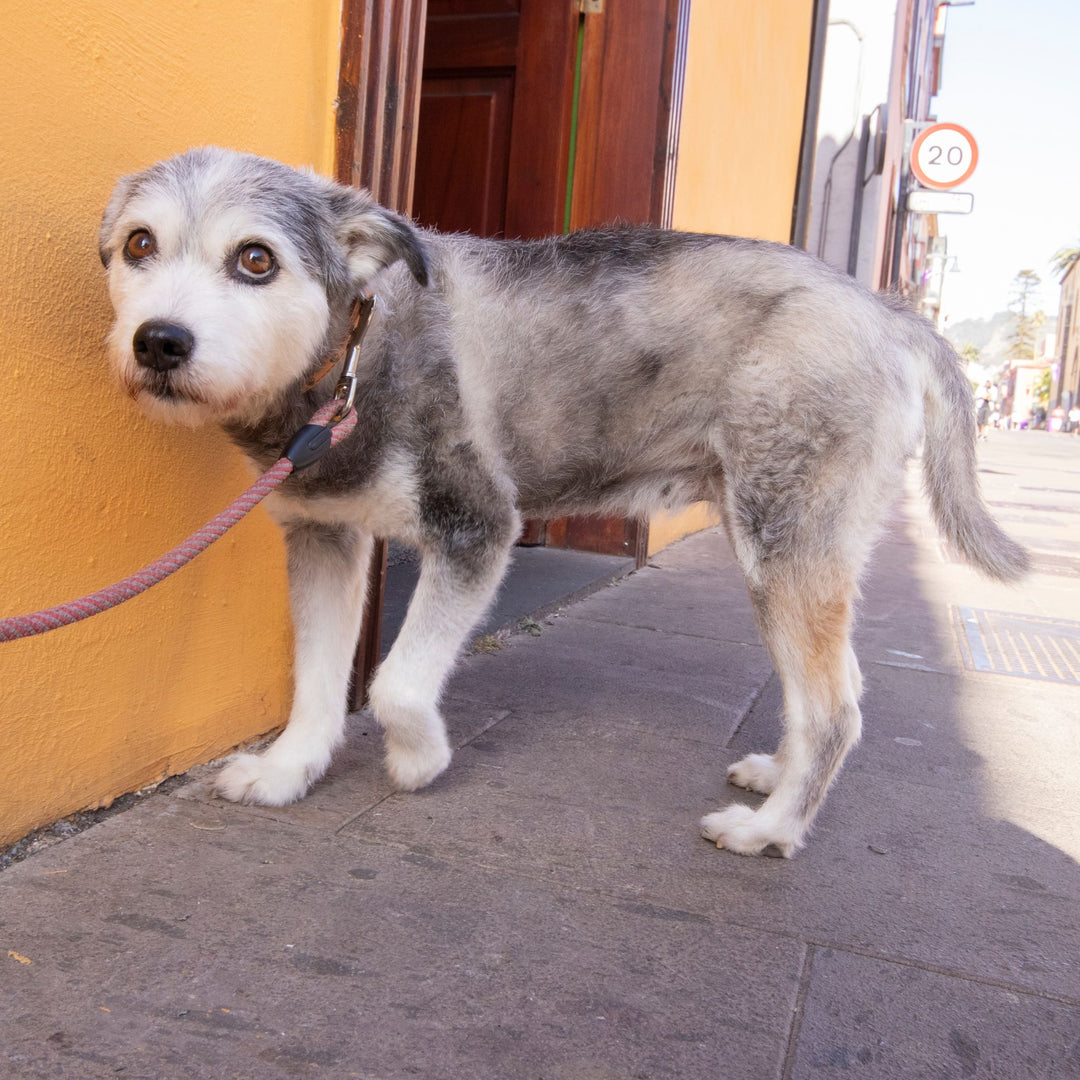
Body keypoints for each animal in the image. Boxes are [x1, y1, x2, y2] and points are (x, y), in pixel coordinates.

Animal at [97, 150, 1023, 859]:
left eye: (256, 259)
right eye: (138, 245)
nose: (160, 342)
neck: (357, 360)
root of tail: (888, 313)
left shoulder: (476, 528)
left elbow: (396, 685)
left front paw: (420, 761)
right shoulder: (324, 537)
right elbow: (319, 682)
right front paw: (289, 771)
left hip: (787, 545)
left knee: (836, 708)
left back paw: (769, 831)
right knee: (827, 690)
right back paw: (774, 779)